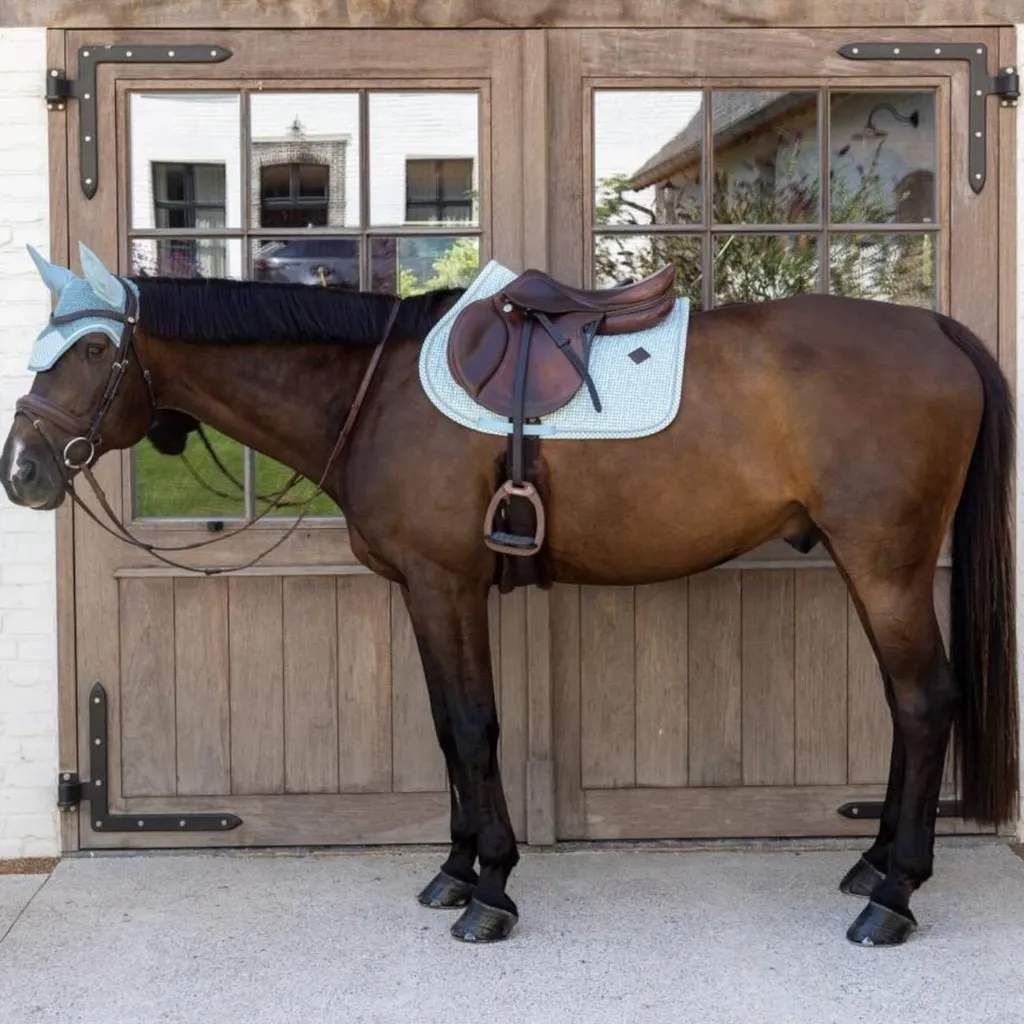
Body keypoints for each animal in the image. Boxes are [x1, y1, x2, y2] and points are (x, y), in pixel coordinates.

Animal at [1, 242, 1017, 948]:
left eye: (89, 351)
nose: (21, 471)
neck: (372, 393)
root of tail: (937, 330)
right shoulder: (424, 591)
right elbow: (449, 728)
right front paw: (454, 873)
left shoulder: (447, 584)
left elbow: (476, 725)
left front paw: (489, 893)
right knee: (906, 704)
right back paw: (872, 866)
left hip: (884, 565)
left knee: (925, 701)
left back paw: (894, 897)